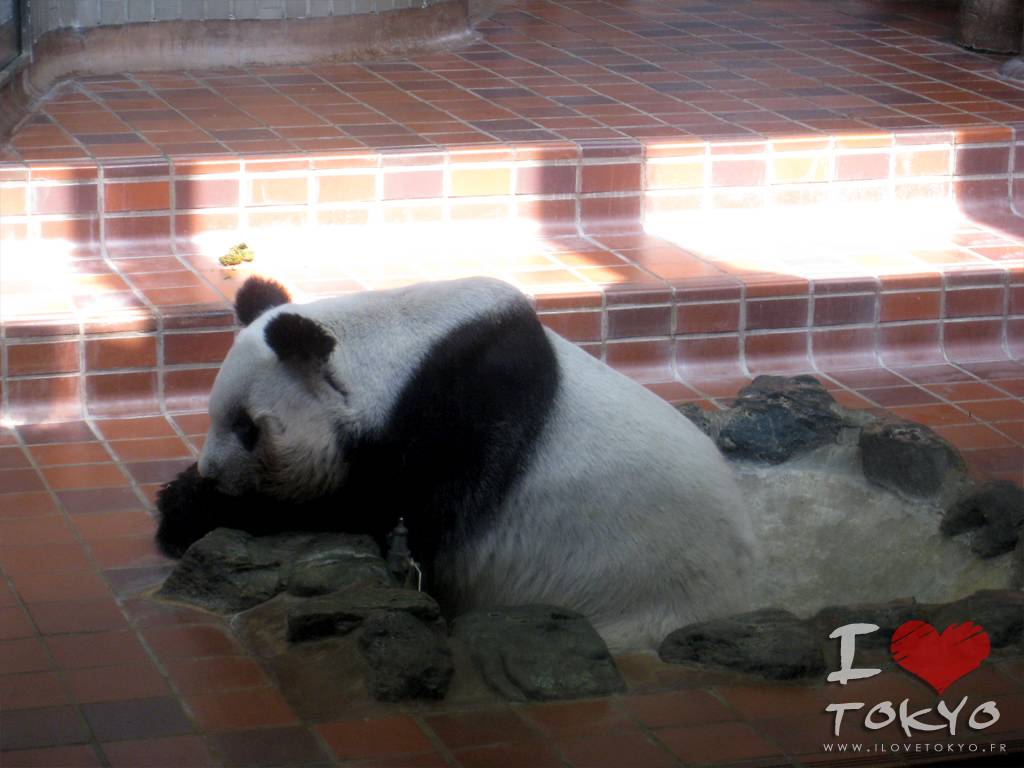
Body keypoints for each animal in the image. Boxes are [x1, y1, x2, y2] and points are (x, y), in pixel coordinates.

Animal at [158, 275, 756, 650]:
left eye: (247, 428)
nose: (213, 474)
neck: (398, 359)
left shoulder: (451, 432)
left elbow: (353, 510)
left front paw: (189, 513)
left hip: (636, 597)